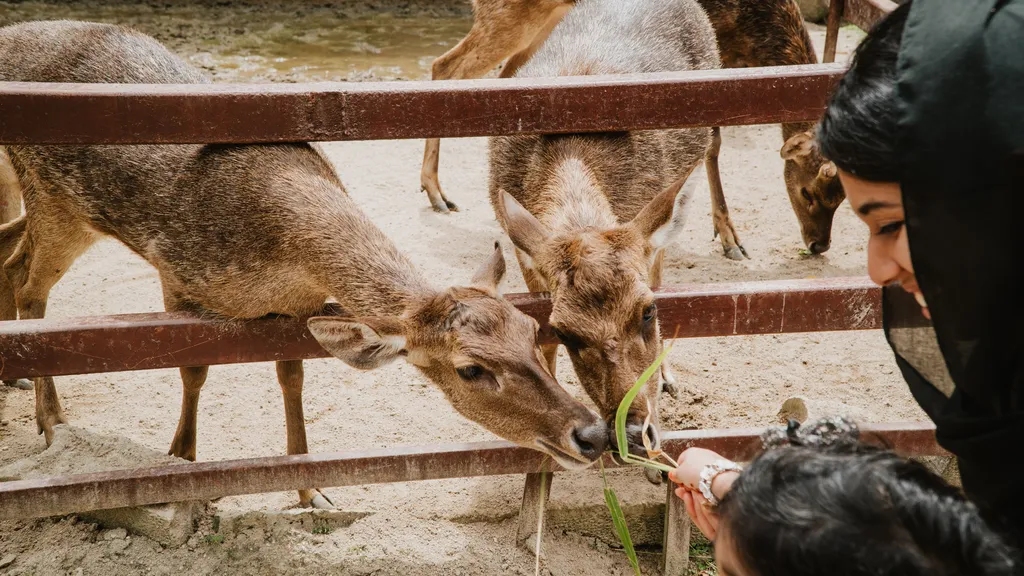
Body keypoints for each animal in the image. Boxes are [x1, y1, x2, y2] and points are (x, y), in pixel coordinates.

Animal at [0, 21, 606, 506]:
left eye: (532, 329)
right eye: (470, 369)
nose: (593, 434)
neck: (275, 258)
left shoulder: (299, 305)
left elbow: (292, 376)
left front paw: (310, 488)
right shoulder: (175, 271)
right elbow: (193, 368)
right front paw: (183, 462)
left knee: (12, 256)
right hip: (56, 200)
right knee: (32, 285)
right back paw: (51, 421)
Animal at [419, 0, 843, 253]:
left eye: (842, 198)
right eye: (807, 192)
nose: (819, 246)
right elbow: (714, 141)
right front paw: (729, 239)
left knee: (504, 74)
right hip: (509, 14)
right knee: (446, 66)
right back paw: (436, 192)